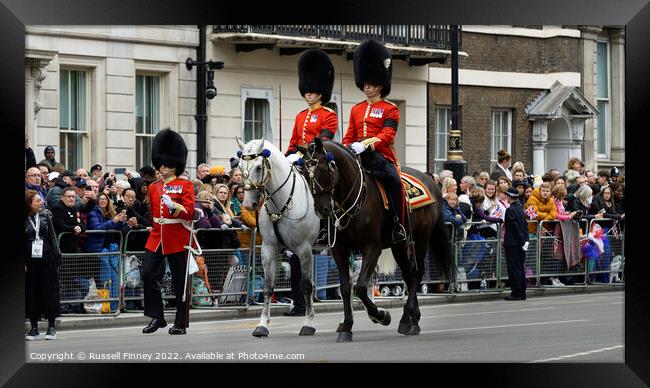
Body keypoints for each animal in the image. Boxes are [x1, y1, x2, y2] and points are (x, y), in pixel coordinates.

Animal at [298, 138, 454, 342]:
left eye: (324, 170)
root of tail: (429, 178)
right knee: (408, 273)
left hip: (421, 238)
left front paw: (380, 315)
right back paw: (412, 319)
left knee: (417, 273)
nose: (321, 210)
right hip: (399, 244)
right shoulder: (339, 249)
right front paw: (346, 326)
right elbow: (346, 288)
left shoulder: (372, 247)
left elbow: (360, 288)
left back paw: (408, 319)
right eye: (304, 173)